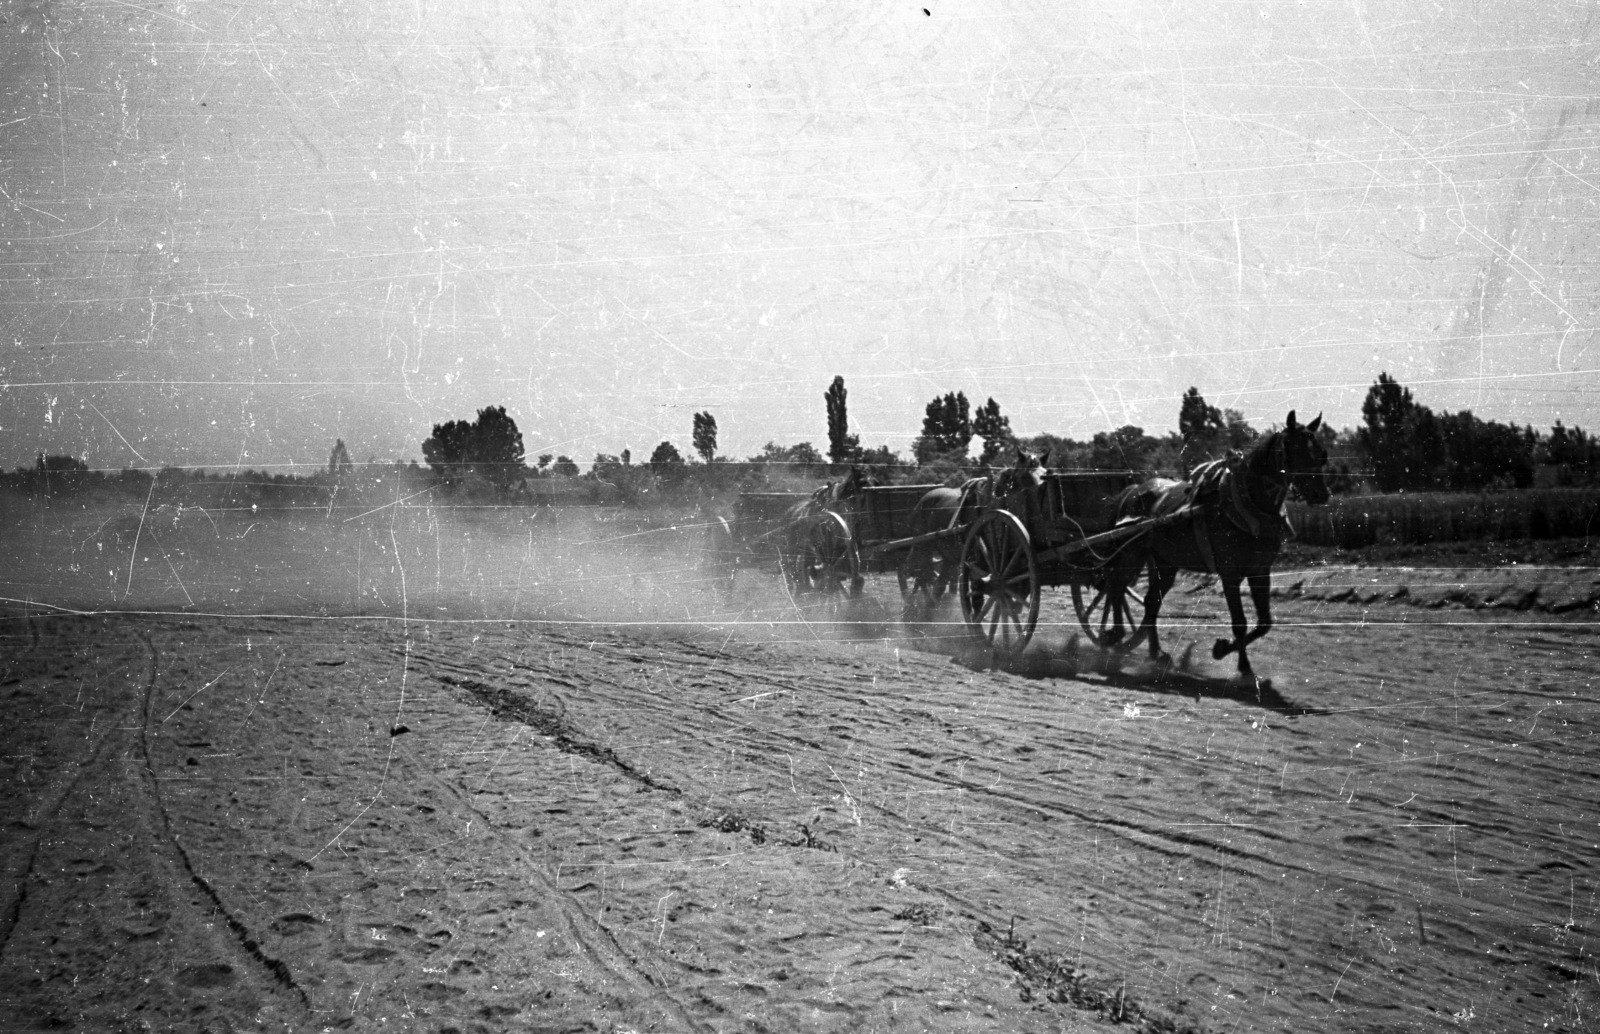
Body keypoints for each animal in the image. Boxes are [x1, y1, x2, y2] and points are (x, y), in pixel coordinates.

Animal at [1107, 409, 1331, 685]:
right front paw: (1240, 664)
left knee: (1151, 602)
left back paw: (1155, 654)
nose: (1321, 494)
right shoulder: (1230, 574)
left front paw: (1228, 652)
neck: (1247, 506)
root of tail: (1133, 490)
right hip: (1132, 554)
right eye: (1295, 450)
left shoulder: (1260, 571)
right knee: (1116, 588)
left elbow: (1265, 622)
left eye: (1321, 452)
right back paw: (1115, 637)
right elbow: (1240, 622)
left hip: (1165, 562)